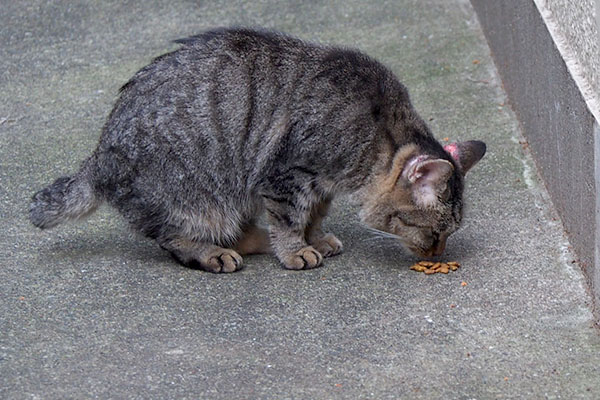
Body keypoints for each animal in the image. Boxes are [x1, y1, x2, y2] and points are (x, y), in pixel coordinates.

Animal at [29, 27, 488, 272]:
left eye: (446, 236)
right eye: (434, 233)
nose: (437, 253)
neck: (376, 136)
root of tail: (98, 154)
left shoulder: (317, 183)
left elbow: (312, 215)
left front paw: (311, 238)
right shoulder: (288, 174)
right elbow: (289, 219)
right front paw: (295, 250)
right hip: (195, 200)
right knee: (173, 238)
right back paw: (214, 253)